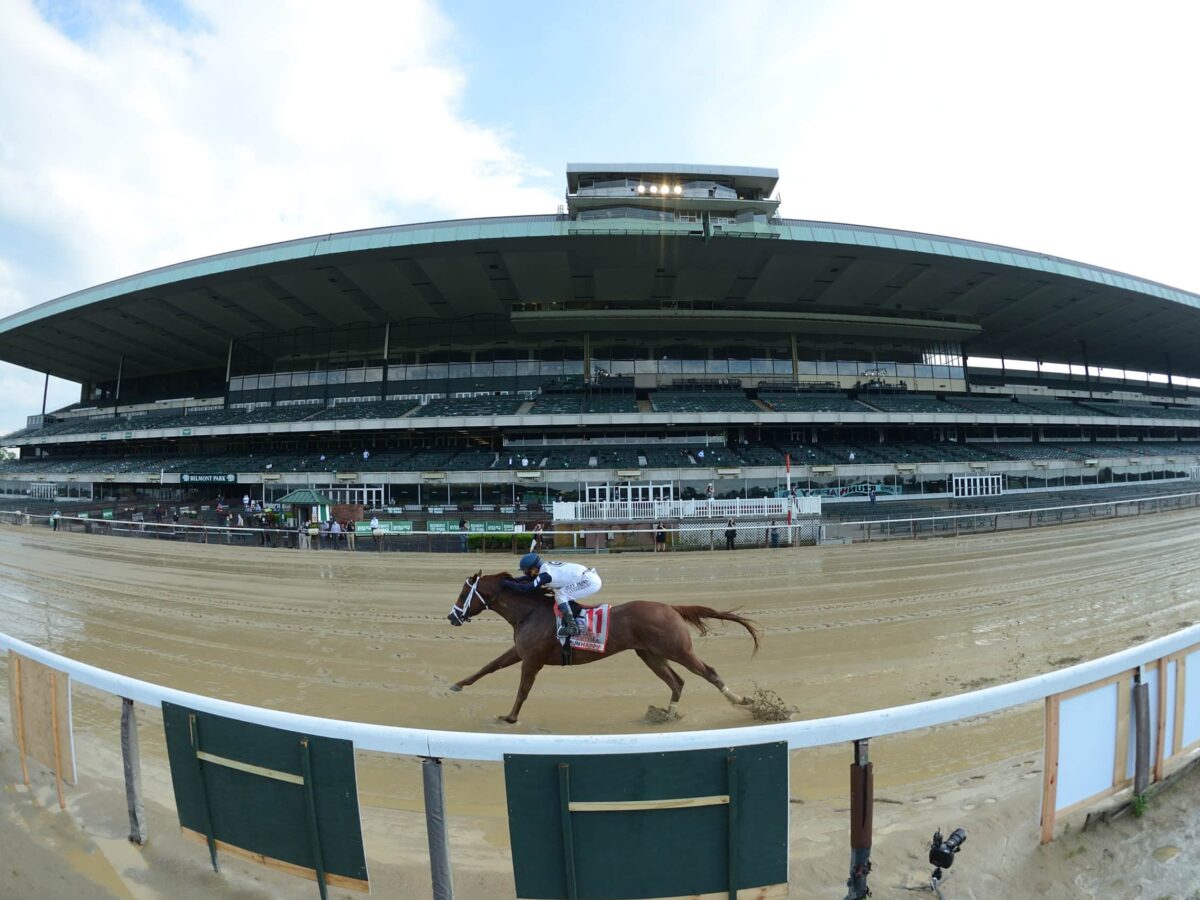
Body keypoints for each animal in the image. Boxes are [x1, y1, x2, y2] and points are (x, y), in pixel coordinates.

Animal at [446, 571, 763, 724]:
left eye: (463, 594)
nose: (452, 616)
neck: (529, 612)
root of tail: (670, 607)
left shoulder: (532, 659)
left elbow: (523, 690)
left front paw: (510, 717)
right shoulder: (520, 652)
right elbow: (489, 666)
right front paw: (457, 684)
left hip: (678, 650)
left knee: (708, 672)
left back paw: (743, 701)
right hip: (650, 654)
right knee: (677, 681)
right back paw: (667, 715)